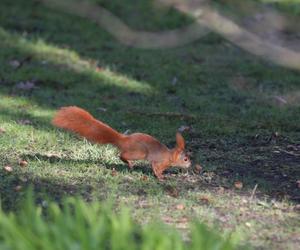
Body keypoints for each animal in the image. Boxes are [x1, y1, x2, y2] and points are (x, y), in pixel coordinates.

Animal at [52, 106, 191, 180]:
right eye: (185, 159)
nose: (190, 164)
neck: (169, 156)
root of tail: (124, 139)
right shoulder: (159, 161)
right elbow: (156, 168)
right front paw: (161, 177)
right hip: (139, 152)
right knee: (121, 155)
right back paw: (129, 163)